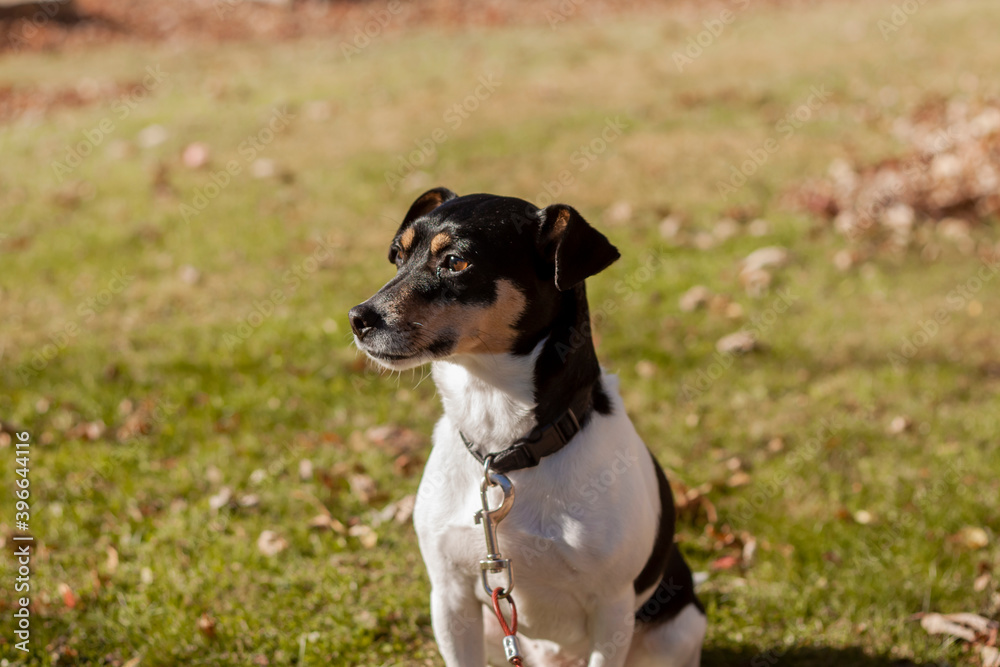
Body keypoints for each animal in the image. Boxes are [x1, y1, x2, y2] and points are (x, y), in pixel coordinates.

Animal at [350, 189, 704, 667]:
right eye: (397, 256)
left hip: (675, 633)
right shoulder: (450, 597)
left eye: (457, 262)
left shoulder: (612, 608)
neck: (505, 449)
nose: (358, 318)